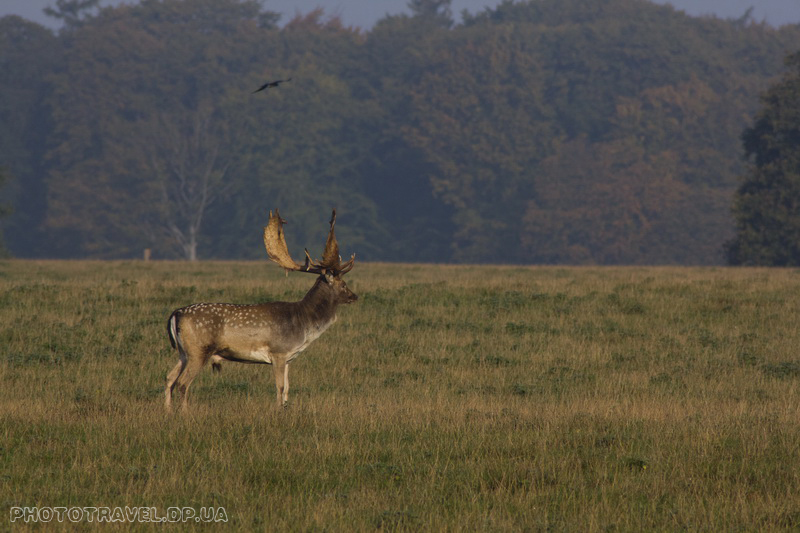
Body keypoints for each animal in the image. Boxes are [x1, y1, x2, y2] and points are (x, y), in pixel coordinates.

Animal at [166, 207, 356, 408]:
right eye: (343, 284)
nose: (355, 296)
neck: (303, 323)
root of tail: (176, 314)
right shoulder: (278, 352)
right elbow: (280, 388)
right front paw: (277, 410)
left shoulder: (288, 359)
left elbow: (287, 389)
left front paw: (285, 409)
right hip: (198, 350)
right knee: (182, 383)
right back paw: (185, 413)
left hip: (183, 352)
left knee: (169, 378)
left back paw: (168, 411)